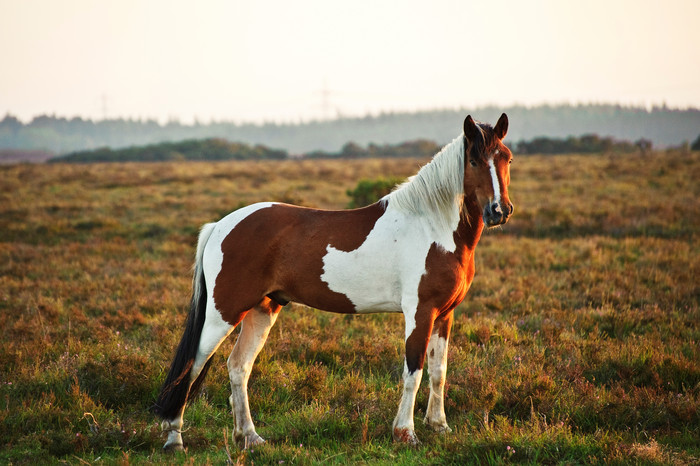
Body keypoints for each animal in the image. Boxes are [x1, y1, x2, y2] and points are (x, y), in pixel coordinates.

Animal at [154, 113, 516, 452]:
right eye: (473, 161)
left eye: (507, 158)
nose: (499, 211)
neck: (431, 227)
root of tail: (220, 225)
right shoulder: (420, 312)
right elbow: (413, 371)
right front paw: (406, 433)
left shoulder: (445, 314)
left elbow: (438, 372)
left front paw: (439, 427)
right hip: (223, 314)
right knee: (191, 366)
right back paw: (175, 440)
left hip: (262, 309)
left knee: (238, 366)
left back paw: (250, 437)